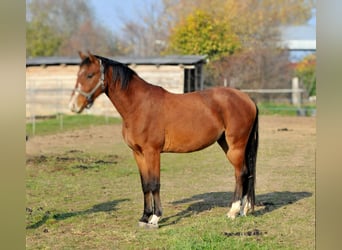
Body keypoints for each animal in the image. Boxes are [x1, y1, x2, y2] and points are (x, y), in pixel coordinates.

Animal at [68, 52, 258, 229]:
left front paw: (155, 218)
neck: (139, 105)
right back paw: (244, 210)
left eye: (89, 75)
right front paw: (144, 217)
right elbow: (145, 184)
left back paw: (233, 211)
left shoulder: (152, 152)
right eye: (78, 74)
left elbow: (154, 183)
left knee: (240, 173)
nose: (73, 106)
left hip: (236, 145)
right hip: (227, 144)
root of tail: (247, 99)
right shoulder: (138, 153)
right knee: (246, 172)